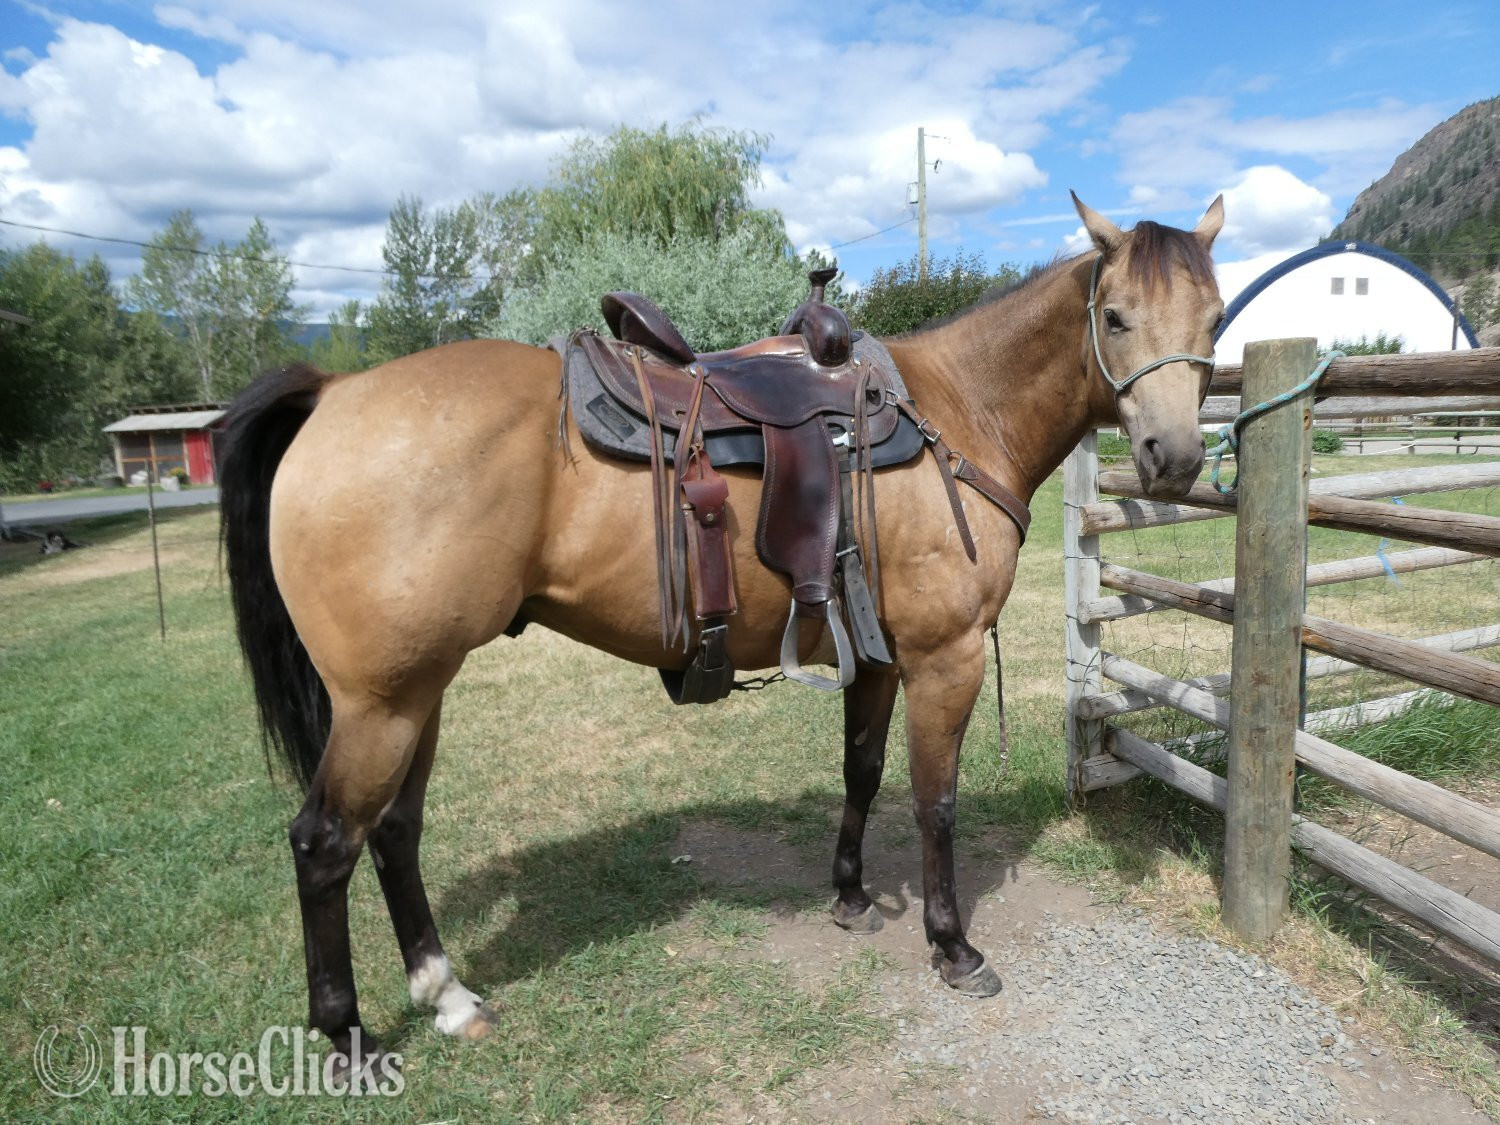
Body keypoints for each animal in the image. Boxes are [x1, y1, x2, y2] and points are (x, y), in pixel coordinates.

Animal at [218, 194, 1225, 1073]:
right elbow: (934, 800)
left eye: (1215, 320)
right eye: (1116, 316)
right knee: (325, 843)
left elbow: (861, 772)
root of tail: (334, 393)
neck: (958, 409)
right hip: (380, 703)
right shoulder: (946, 658)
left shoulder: (880, 656)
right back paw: (347, 1034)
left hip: (419, 690)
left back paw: (446, 992)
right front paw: (951, 945)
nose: (1173, 458)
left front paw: (851, 895)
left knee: (394, 830)